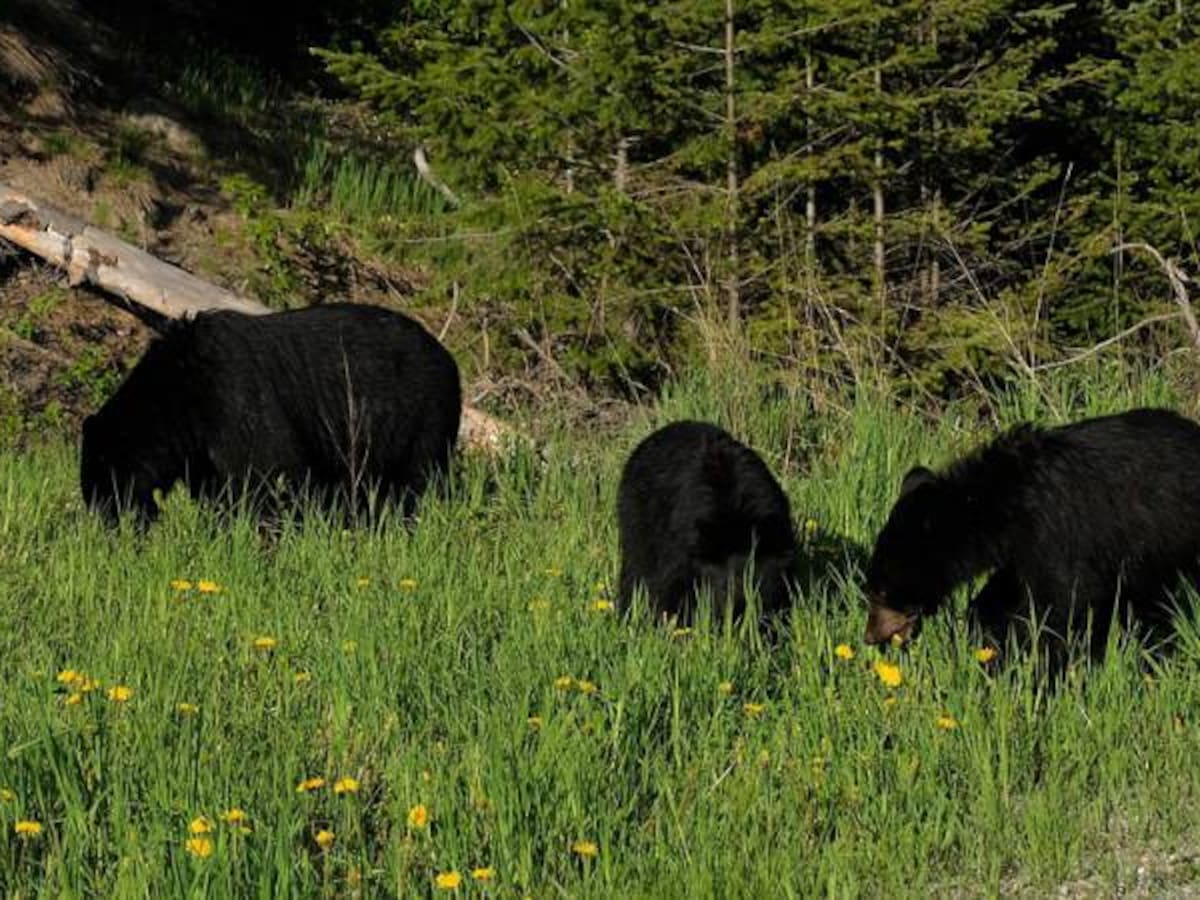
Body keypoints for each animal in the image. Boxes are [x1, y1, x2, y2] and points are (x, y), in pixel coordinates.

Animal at [81, 303, 461, 525]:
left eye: (101, 490)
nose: (105, 527)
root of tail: (448, 355)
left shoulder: (233, 397)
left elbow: (266, 472)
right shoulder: (200, 449)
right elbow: (215, 490)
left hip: (421, 418)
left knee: (418, 481)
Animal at [616, 420, 799, 625]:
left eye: (755, 585)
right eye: (724, 588)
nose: (736, 612)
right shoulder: (681, 548)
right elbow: (671, 587)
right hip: (637, 521)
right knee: (635, 569)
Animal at [863, 408, 1200, 664]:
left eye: (881, 591)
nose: (870, 637)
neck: (1001, 505)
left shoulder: (1061, 533)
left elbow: (1058, 604)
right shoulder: (1021, 552)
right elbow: (1002, 596)